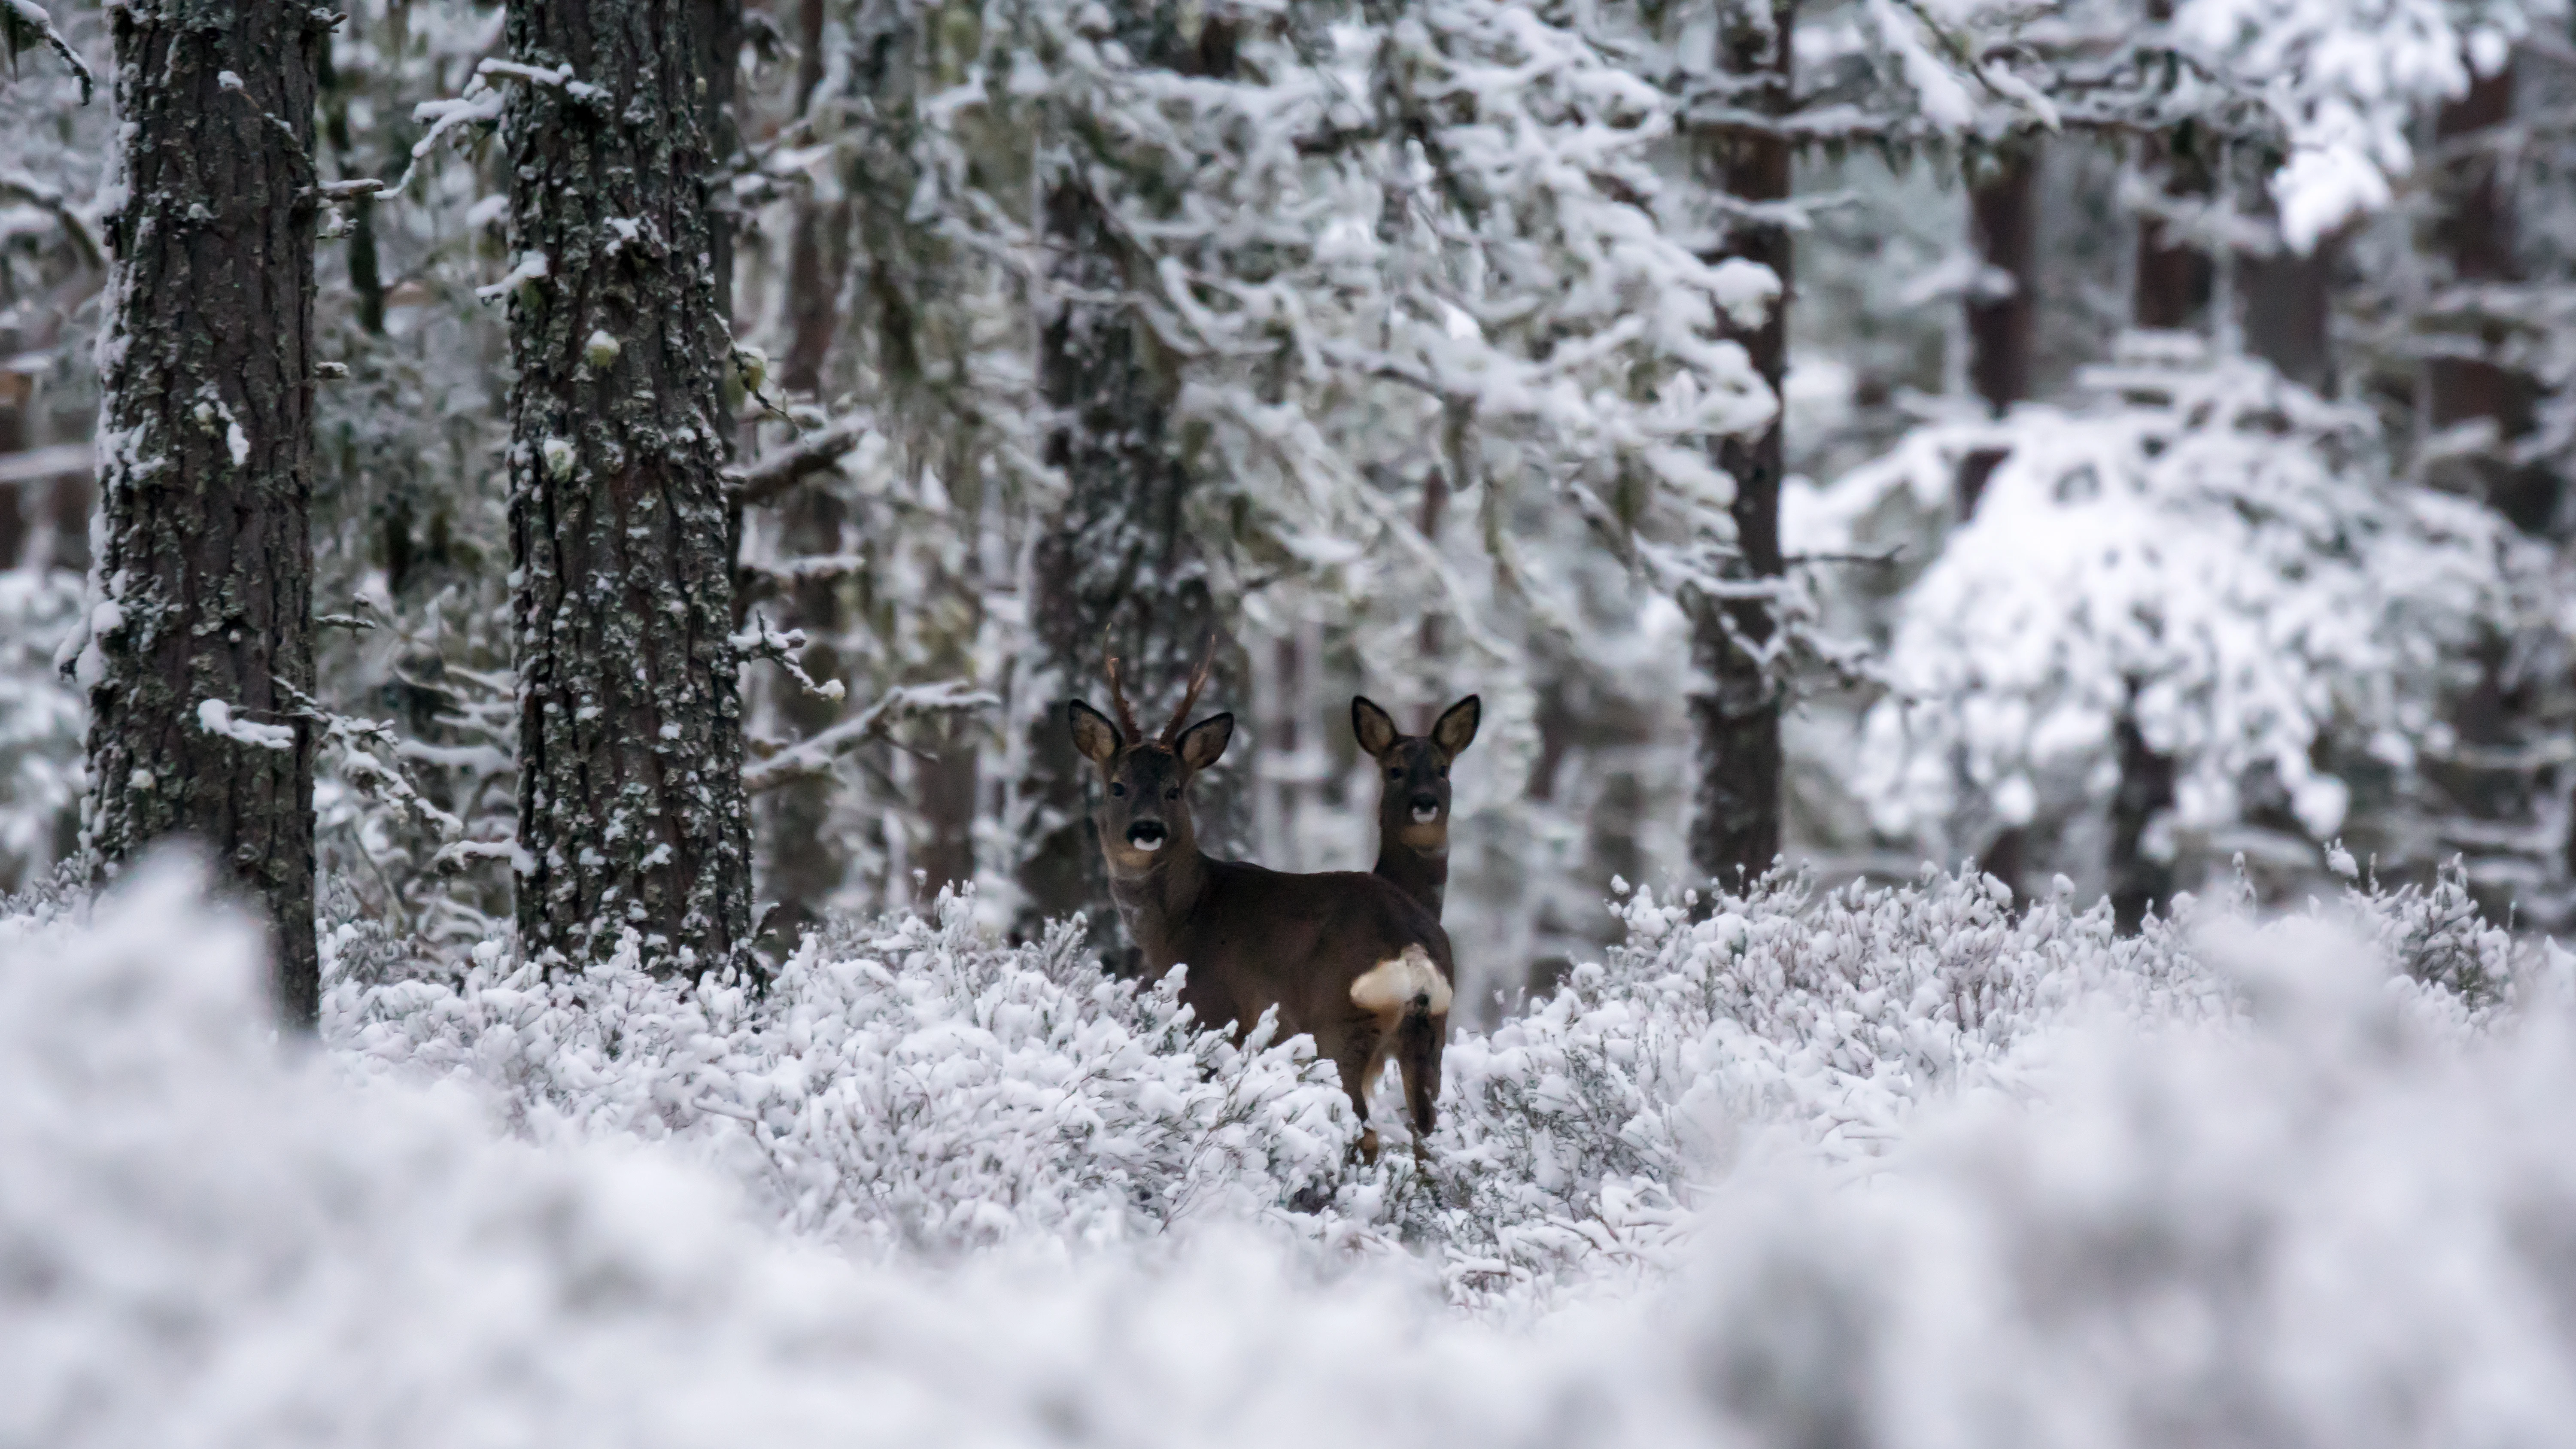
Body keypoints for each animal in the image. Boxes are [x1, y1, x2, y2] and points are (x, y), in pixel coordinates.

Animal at [1069, 648, 1452, 1164]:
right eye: (1117, 786)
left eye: (1174, 789)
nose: (1147, 829)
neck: (1184, 917)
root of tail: (1412, 949)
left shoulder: (1212, 1009)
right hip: (1430, 1038)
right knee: (1428, 1136)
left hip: (1339, 1026)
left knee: (1365, 1132)